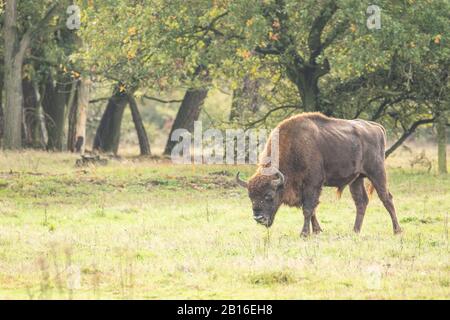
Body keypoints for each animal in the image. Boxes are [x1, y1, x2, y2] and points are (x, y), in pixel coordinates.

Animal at [237, 112, 402, 235]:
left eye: (269, 196)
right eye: (250, 197)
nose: (258, 218)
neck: (294, 148)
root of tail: (376, 127)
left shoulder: (312, 184)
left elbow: (308, 209)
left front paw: (304, 234)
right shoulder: (307, 189)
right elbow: (312, 210)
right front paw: (317, 231)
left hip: (377, 172)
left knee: (386, 198)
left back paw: (397, 231)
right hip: (356, 179)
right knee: (361, 202)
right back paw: (355, 231)